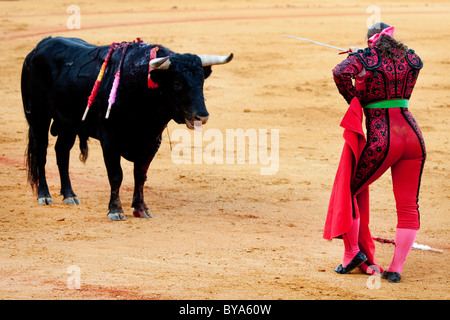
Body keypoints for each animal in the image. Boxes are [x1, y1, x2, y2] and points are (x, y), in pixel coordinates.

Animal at [20, 35, 232, 220]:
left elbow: (140, 175)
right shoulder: (109, 141)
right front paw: (115, 210)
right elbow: (116, 176)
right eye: (177, 83)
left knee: (62, 152)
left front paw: (141, 208)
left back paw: (69, 195)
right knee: (41, 153)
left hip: (69, 124)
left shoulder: (151, 141)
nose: (202, 116)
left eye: (201, 81)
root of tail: (38, 48)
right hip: (38, 116)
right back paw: (44, 195)